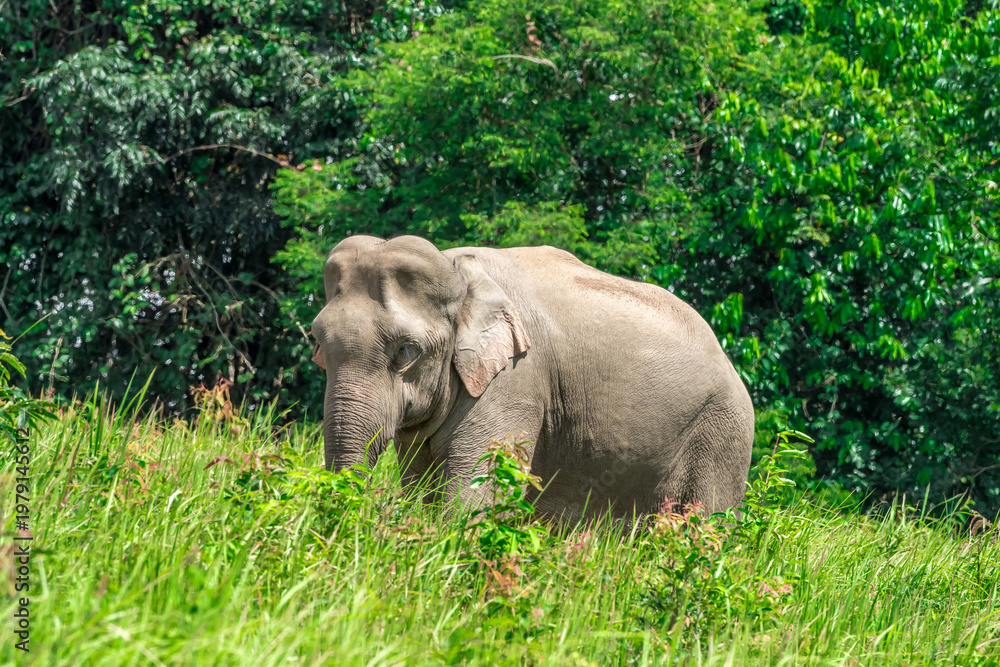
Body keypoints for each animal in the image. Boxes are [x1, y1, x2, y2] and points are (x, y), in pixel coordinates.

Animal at [310, 234, 754, 519]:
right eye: (318, 343)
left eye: (405, 351)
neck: (459, 271)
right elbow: (421, 485)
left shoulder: (514, 380)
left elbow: (475, 494)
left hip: (722, 435)